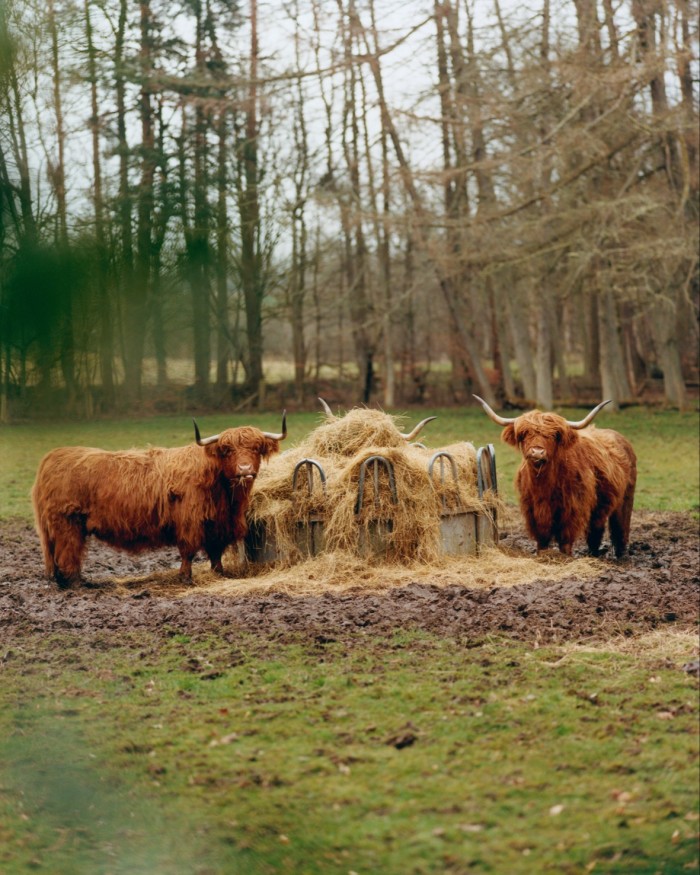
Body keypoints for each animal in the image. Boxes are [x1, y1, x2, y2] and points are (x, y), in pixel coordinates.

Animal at [32, 412, 288, 588]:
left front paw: (219, 574)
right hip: (67, 523)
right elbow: (188, 551)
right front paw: (185, 578)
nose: (245, 469)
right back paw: (76, 582)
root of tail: (53, 457)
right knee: (67, 552)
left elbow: (215, 552)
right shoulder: (190, 523)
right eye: (227, 450)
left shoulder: (220, 525)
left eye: (256, 448)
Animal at [474, 396, 636, 556]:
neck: (543, 486)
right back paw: (593, 553)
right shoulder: (532, 510)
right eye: (525, 434)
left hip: (626, 498)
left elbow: (565, 538)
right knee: (596, 528)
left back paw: (620, 555)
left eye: (552, 436)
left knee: (620, 526)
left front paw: (565, 556)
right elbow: (542, 538)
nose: (537, 452)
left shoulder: (572, 509)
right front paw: (541, 555)